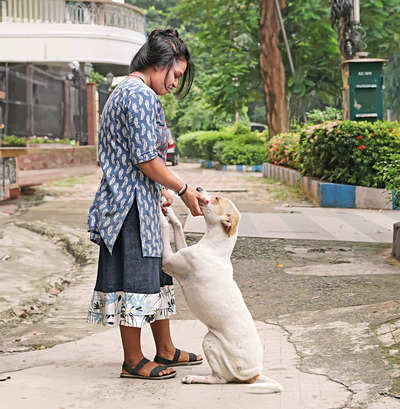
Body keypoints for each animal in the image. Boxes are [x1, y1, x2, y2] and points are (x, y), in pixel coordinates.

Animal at [161, 188, 282, 392]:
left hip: (210, 341)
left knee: (219, 379)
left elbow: (162, 231)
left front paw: (159, 211)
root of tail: (254, 374)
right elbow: (177, 225)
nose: (198, 188)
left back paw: (194, 378)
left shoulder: (168, 260)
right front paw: (168, 210)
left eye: (217, 198)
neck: (215, 246)